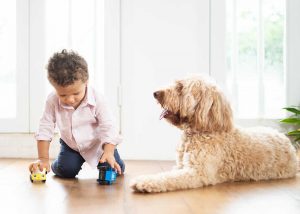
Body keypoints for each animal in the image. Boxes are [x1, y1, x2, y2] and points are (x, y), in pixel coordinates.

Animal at [131, 74, 298, 193]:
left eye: (180, 87)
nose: (155, 93)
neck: (202, 130)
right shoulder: (180, 166)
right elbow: (166, 174)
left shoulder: (198, 173)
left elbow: (168, 179)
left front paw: (144, 182)